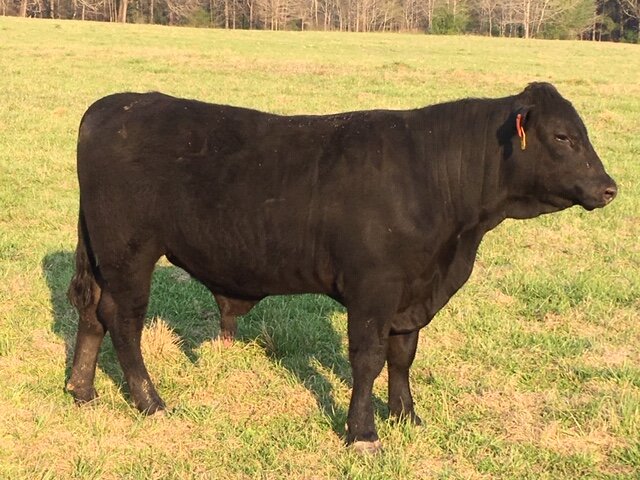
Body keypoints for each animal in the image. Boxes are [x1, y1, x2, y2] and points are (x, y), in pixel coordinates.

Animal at [67, 83, 616, 453]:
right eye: (562, 136)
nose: (609, 188)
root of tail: (113, 104)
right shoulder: (374, 289)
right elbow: (368, 359)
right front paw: (363, 433)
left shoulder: (411, 293)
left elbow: (402, 357)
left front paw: (406, 417)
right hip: (129, 254)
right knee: (124, 321)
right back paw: (149, 402)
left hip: (102, 254)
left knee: (91, 314)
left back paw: (82, 390)